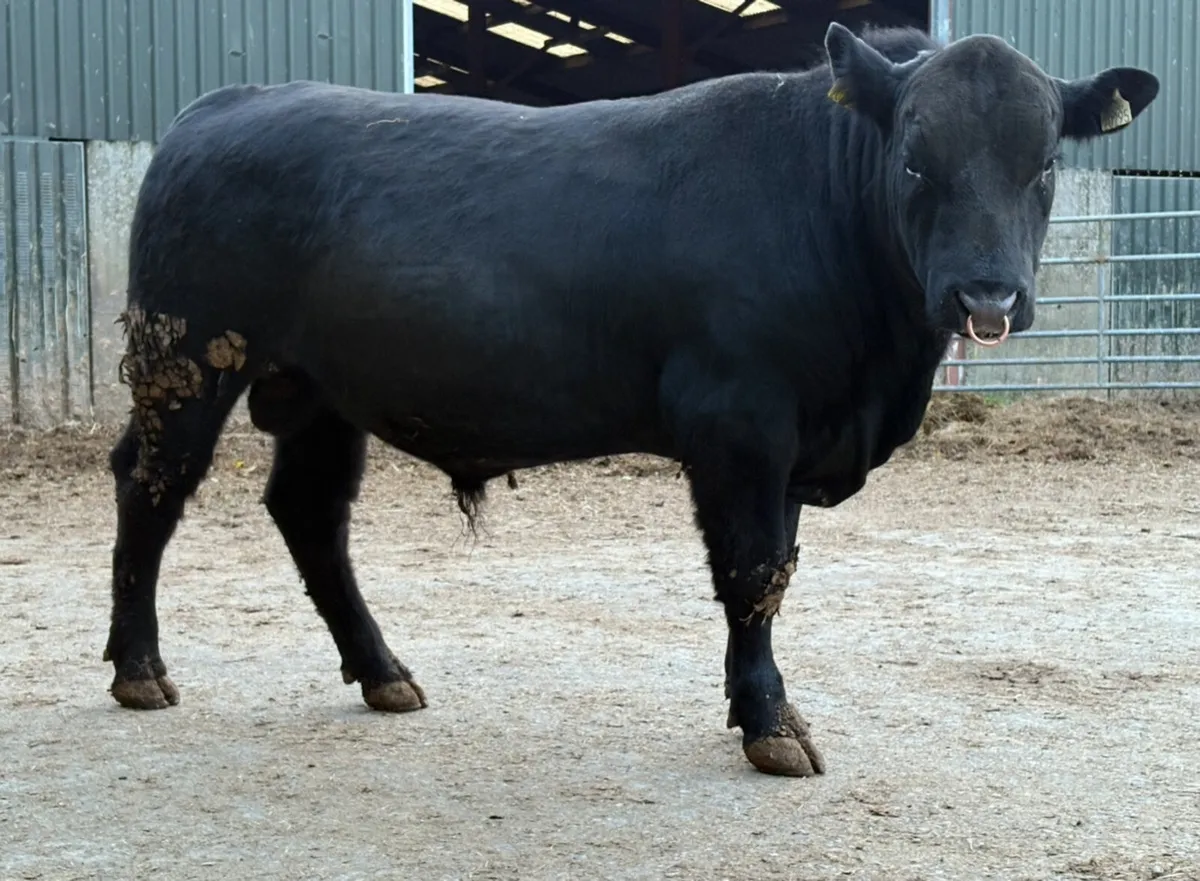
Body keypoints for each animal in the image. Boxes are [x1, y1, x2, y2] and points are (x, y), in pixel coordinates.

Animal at [102, 21, 1158, 778]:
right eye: (913, 160)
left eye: (1044, 164)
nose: (987, 298)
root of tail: (223, 105)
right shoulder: (741, 423)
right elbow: (754, 572)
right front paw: (771, 723)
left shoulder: (790, 439)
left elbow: (773, 573)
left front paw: (760, 707)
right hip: (186, 358)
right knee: (149, 490)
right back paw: (139, 669)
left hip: (320, 391)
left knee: (310, 514)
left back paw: (384, 672)